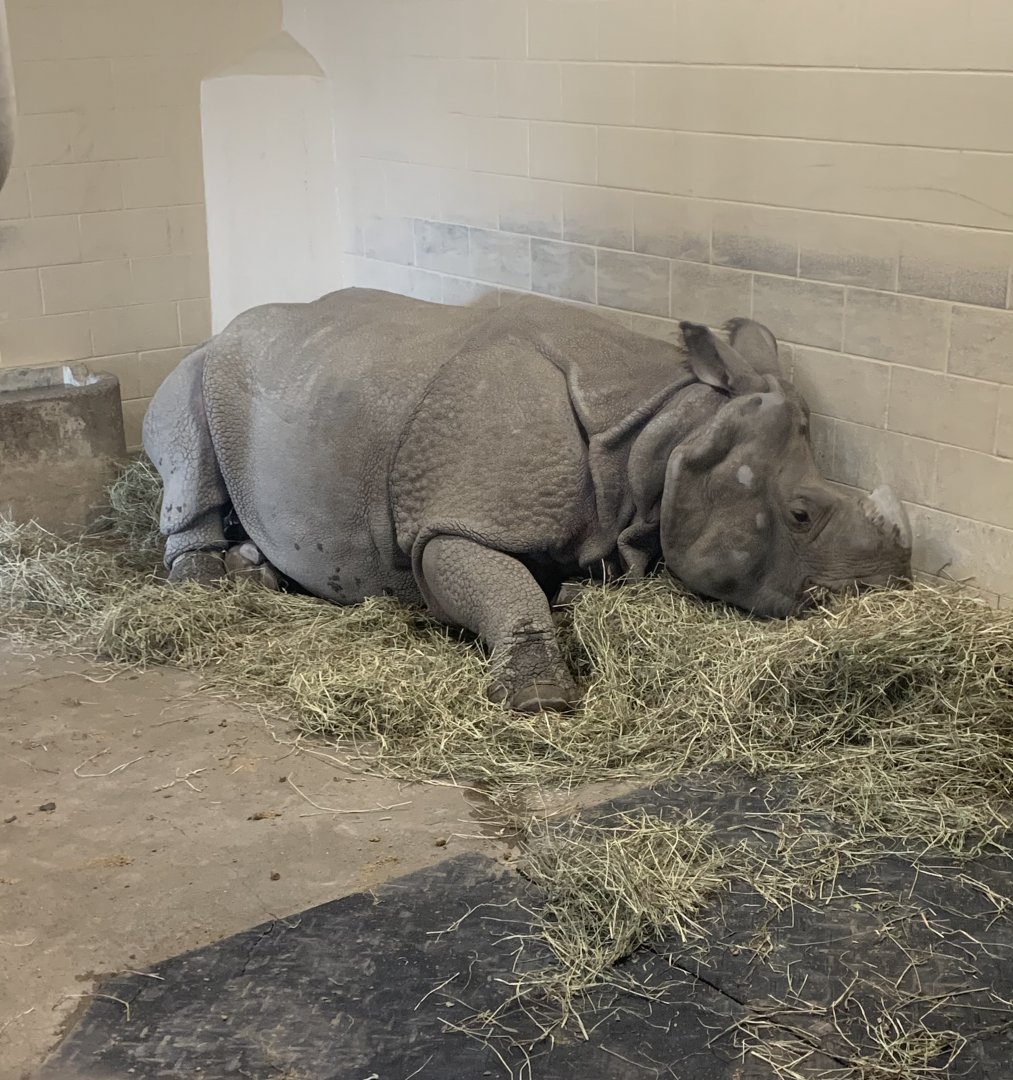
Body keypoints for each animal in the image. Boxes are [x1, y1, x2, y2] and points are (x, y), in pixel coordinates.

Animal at [143, 288, 911, 712]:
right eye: (801, 514)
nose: (883, 590)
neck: (663, 431)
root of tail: (231, 323)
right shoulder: (454, 522)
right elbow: (502, 584)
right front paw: (540, 700)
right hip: (204, 363)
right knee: (187, 433)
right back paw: (208, 583)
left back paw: (256, 571)